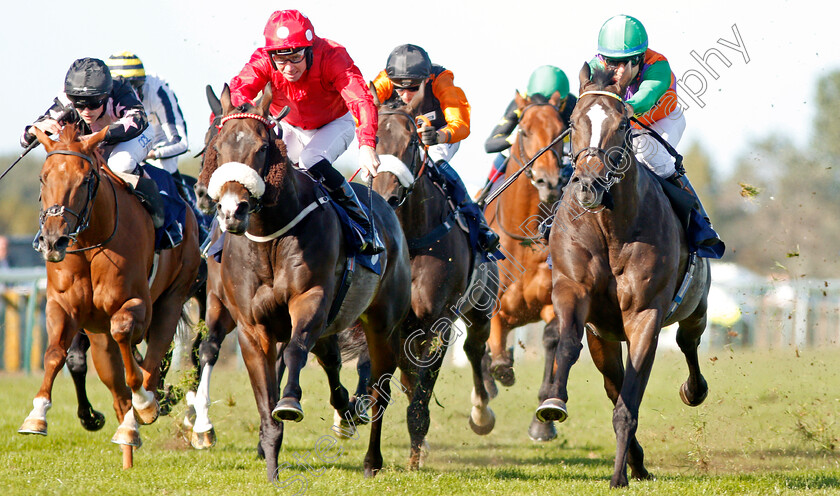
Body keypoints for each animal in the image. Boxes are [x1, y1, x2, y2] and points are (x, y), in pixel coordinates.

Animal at [18, 124, 202, 450]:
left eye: (85, 179)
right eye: (43, 177)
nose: (53, 240)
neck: (91, 241)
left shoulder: (137, 304)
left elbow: (126, 338)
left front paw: (145, 403)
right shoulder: (63, 306)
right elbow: (55, 353)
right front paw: (37, 415)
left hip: (173, 297)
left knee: (155, 358)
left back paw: (144, 411)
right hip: (98, 332)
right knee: (116, 381)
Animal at [194, 85, 410, 480]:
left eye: (262, 147)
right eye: (216, 145)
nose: (231, 210)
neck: (269, 239)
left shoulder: (311, 299)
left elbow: (295, 351)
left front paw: (291, 402)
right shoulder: (247, 324)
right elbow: (262, 398)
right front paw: (271, 468)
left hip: (382, 324)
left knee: (380, 390)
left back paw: (372, 460)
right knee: (332, 363)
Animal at [370, 84, 498, 468]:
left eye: (413, 141)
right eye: (371, 138)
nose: (386, 196)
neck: (411, 239)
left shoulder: (436, 321)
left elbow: (423, 391)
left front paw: (414, 457)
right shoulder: (394, 324)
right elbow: (406, 381)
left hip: (481, 308)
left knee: (474, 348)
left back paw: (481, 415)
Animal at [482, 90, 576, 442]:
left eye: (561, 131)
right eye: (523, 130)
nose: (548, 181)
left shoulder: (553, 298)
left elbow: (553, 338)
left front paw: (543, 421)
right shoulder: (491, 301)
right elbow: (493, 338)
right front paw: (499, 370)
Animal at [540, 63, 708, 488]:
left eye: (621, 124)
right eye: (573, 121)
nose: (589, 184)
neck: (609, 227)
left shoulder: (645, 315)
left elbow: (628, 404)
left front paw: (618, 477)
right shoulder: (572, 290)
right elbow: (568, 344)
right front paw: (552, 401)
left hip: (696, 303)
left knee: (688, 342)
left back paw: (692, 391)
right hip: (604, 337)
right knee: (612, 381)